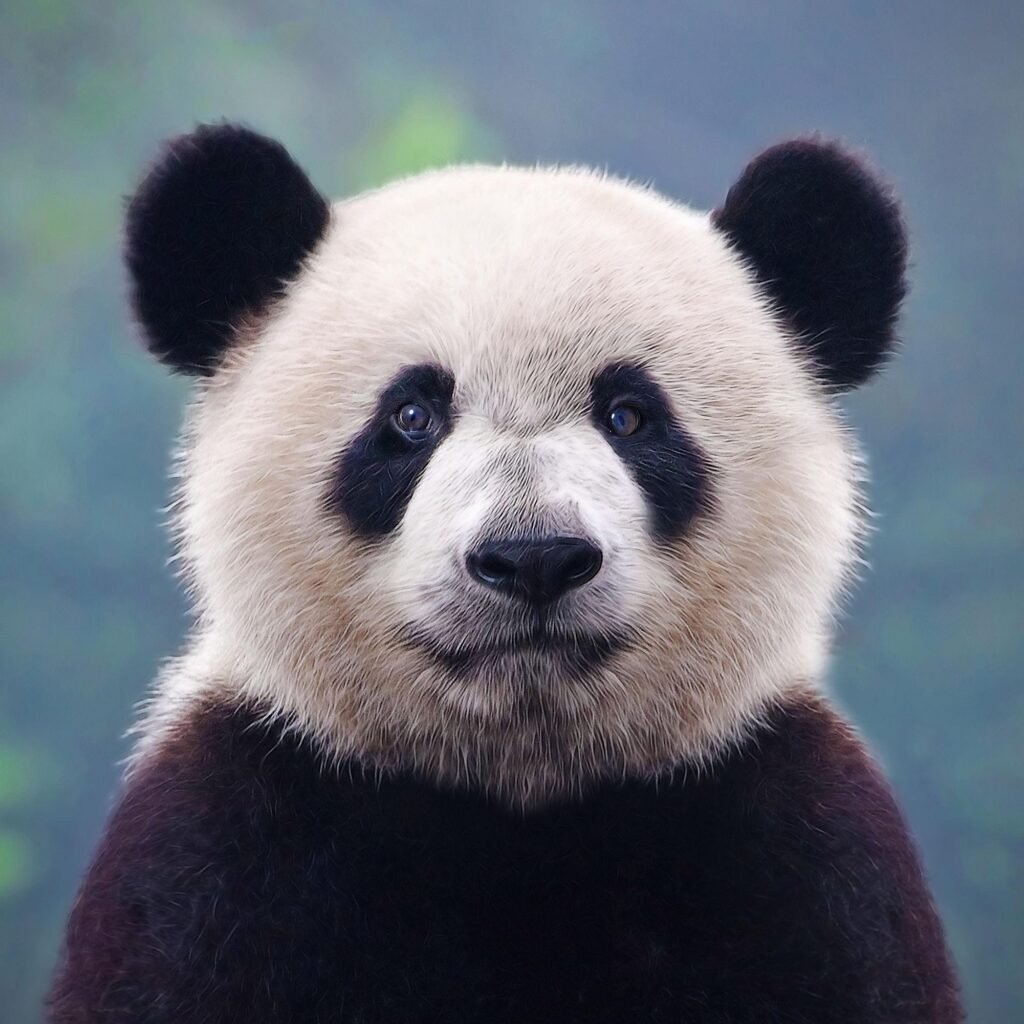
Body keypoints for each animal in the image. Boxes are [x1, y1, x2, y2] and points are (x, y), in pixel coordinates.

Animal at [48, 123, 962, 1023]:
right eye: (411, 416)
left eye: (630, 416)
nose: (534, 558)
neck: (515, 790)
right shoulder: (232, 832)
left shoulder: (789, 838)